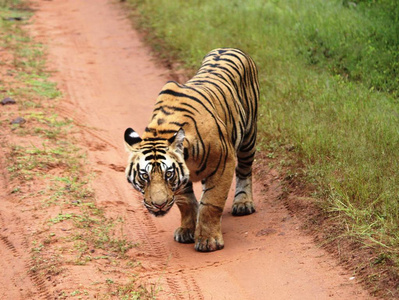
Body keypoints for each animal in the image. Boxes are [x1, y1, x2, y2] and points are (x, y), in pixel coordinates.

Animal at [126, 48, 260, 251]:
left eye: (168, 174)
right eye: (144, 176)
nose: (159, 205)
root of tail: (229, 48)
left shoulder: (224, 163)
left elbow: (211, 202)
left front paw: (208, 240)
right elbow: (186, 203)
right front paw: (187, 230)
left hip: (249, 136)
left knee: (244, 170)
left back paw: (243, 203)